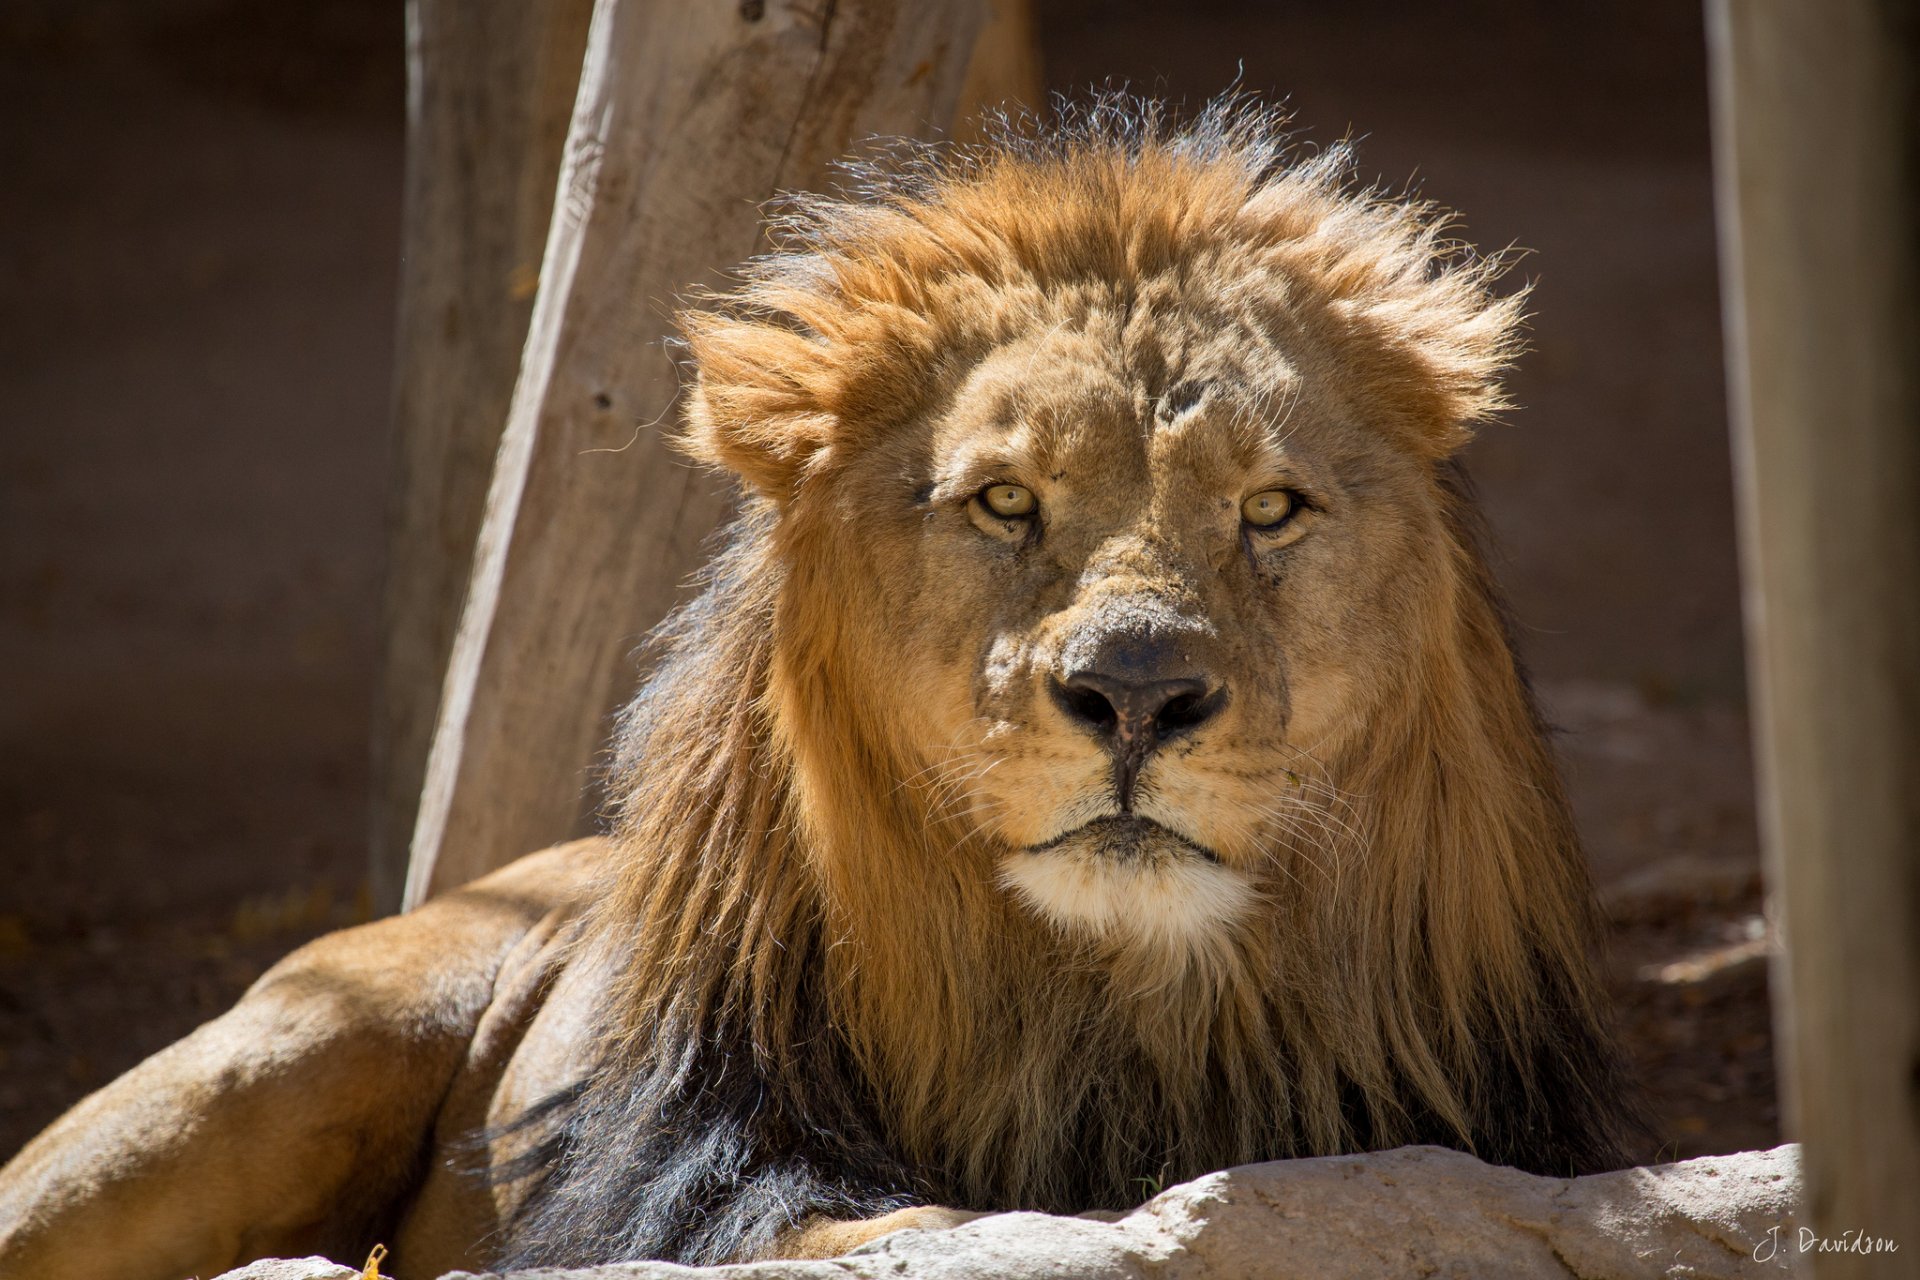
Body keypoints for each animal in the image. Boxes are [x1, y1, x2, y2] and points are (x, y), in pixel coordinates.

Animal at [0, 102, 1635, 1280]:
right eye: (1002, 502)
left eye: (1271, 509)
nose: (1137, 694)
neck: (1113, 1018)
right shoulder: (699, 1189)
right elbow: (926, 1227)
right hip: (265, 1066)